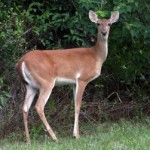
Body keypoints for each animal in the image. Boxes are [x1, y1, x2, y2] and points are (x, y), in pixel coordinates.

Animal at [16, 9, 119, 144]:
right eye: (98, 23)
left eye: (109, 24)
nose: (104, 32)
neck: (96, 56)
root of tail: (21, 62)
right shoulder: (82, 78)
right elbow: (78, 106)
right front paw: (77, 135)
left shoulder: (74, 83)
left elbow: (74, 105)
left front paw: (75, 133)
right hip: (46, 81)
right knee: (39, 106)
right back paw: (54, 137)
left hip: (30, 86)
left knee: (24, 107)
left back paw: (28, 140)